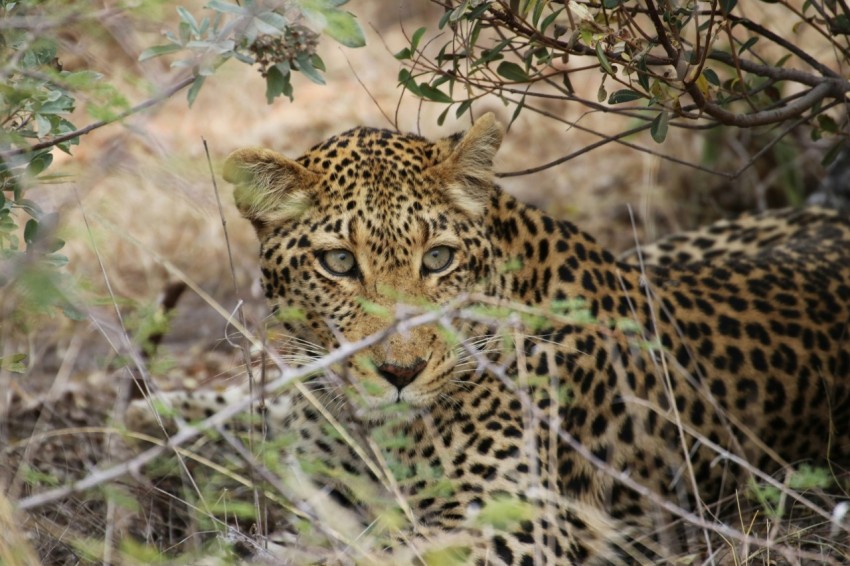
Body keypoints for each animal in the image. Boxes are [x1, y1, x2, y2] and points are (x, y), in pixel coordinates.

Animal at [126, 113, 848, 564]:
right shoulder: (330, 486)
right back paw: (146, 421)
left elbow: (382, 552)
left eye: (439, 259)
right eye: (338, 263)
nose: (400, 373)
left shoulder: (521, 524)